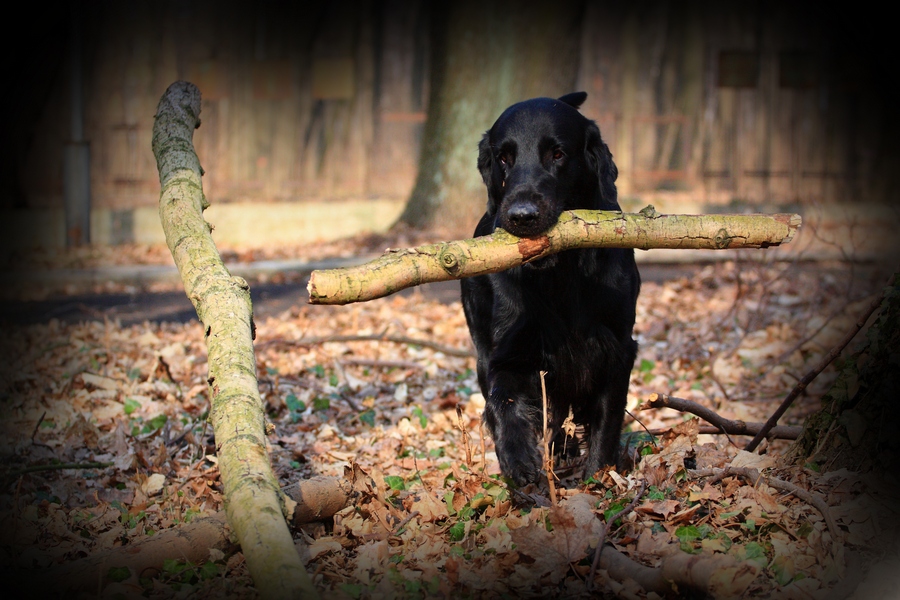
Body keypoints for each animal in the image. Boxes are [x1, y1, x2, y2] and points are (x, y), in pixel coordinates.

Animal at [464, 95, 640, 488]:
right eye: (503, 157)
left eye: (558, 154)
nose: (521, 216)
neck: (562, 277)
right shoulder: (510, 353)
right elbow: (502, 402)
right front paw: (519, 460)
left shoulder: (618, 348)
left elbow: (607, 420)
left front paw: (597, 480)